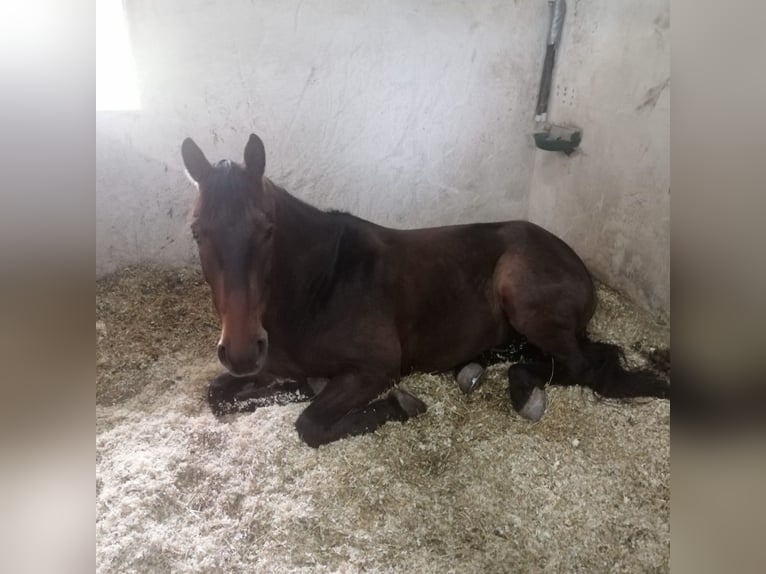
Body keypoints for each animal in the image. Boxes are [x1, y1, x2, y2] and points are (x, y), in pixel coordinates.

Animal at [182, 135, 672, 450]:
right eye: (196, 232)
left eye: (267, 230)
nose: (242, 349)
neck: (317, 286)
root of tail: (570, 255)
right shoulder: (273, 368)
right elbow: (220, 395)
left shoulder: (375, 368)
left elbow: (311, 424)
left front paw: (399, 405)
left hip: (522, 295)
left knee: (582, 366)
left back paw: (524, 392)